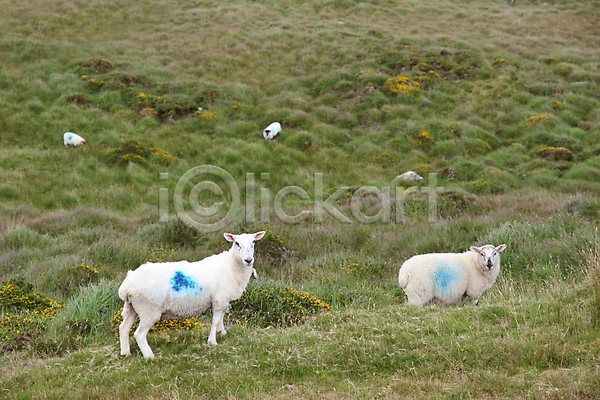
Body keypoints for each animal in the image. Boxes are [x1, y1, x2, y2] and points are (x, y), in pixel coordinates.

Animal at [117, 231, 264, 360]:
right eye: (237, 243)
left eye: (253, 242)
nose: (248, 260)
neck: (231, 266)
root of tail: (127, 284)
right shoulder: (219, 299)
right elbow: (215, 320)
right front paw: (212, 341)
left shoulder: (223, 300)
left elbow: (221, 318)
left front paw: (222, 332)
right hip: (148, 309)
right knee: (139, 335)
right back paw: (149, 356)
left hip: (133, 307)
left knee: (123, 328)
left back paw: (125, 353)